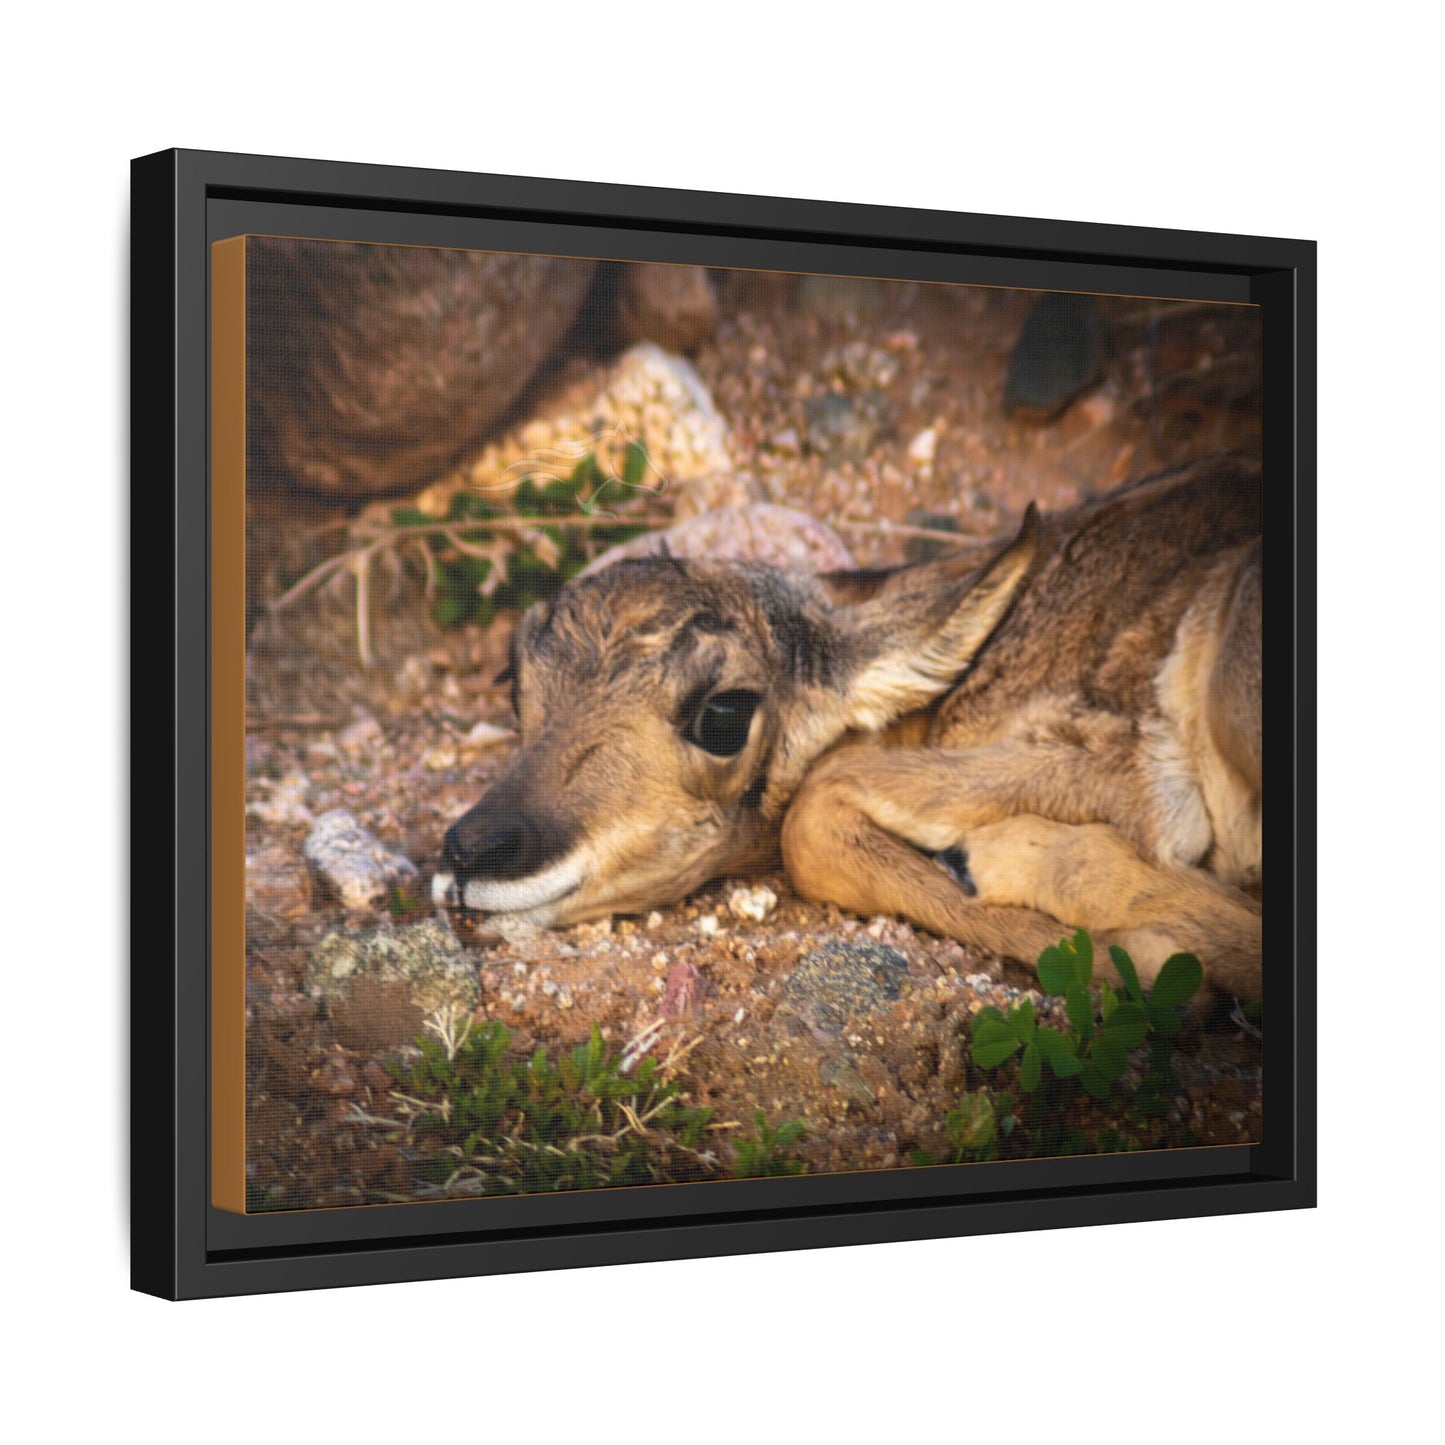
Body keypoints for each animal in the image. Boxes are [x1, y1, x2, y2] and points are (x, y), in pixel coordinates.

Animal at [434, 453, 1263, 999]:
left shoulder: (1133, 774)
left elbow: (813, 810)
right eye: (516, 680)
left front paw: (1149, 960)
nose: (470, 852)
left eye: (722, 713)